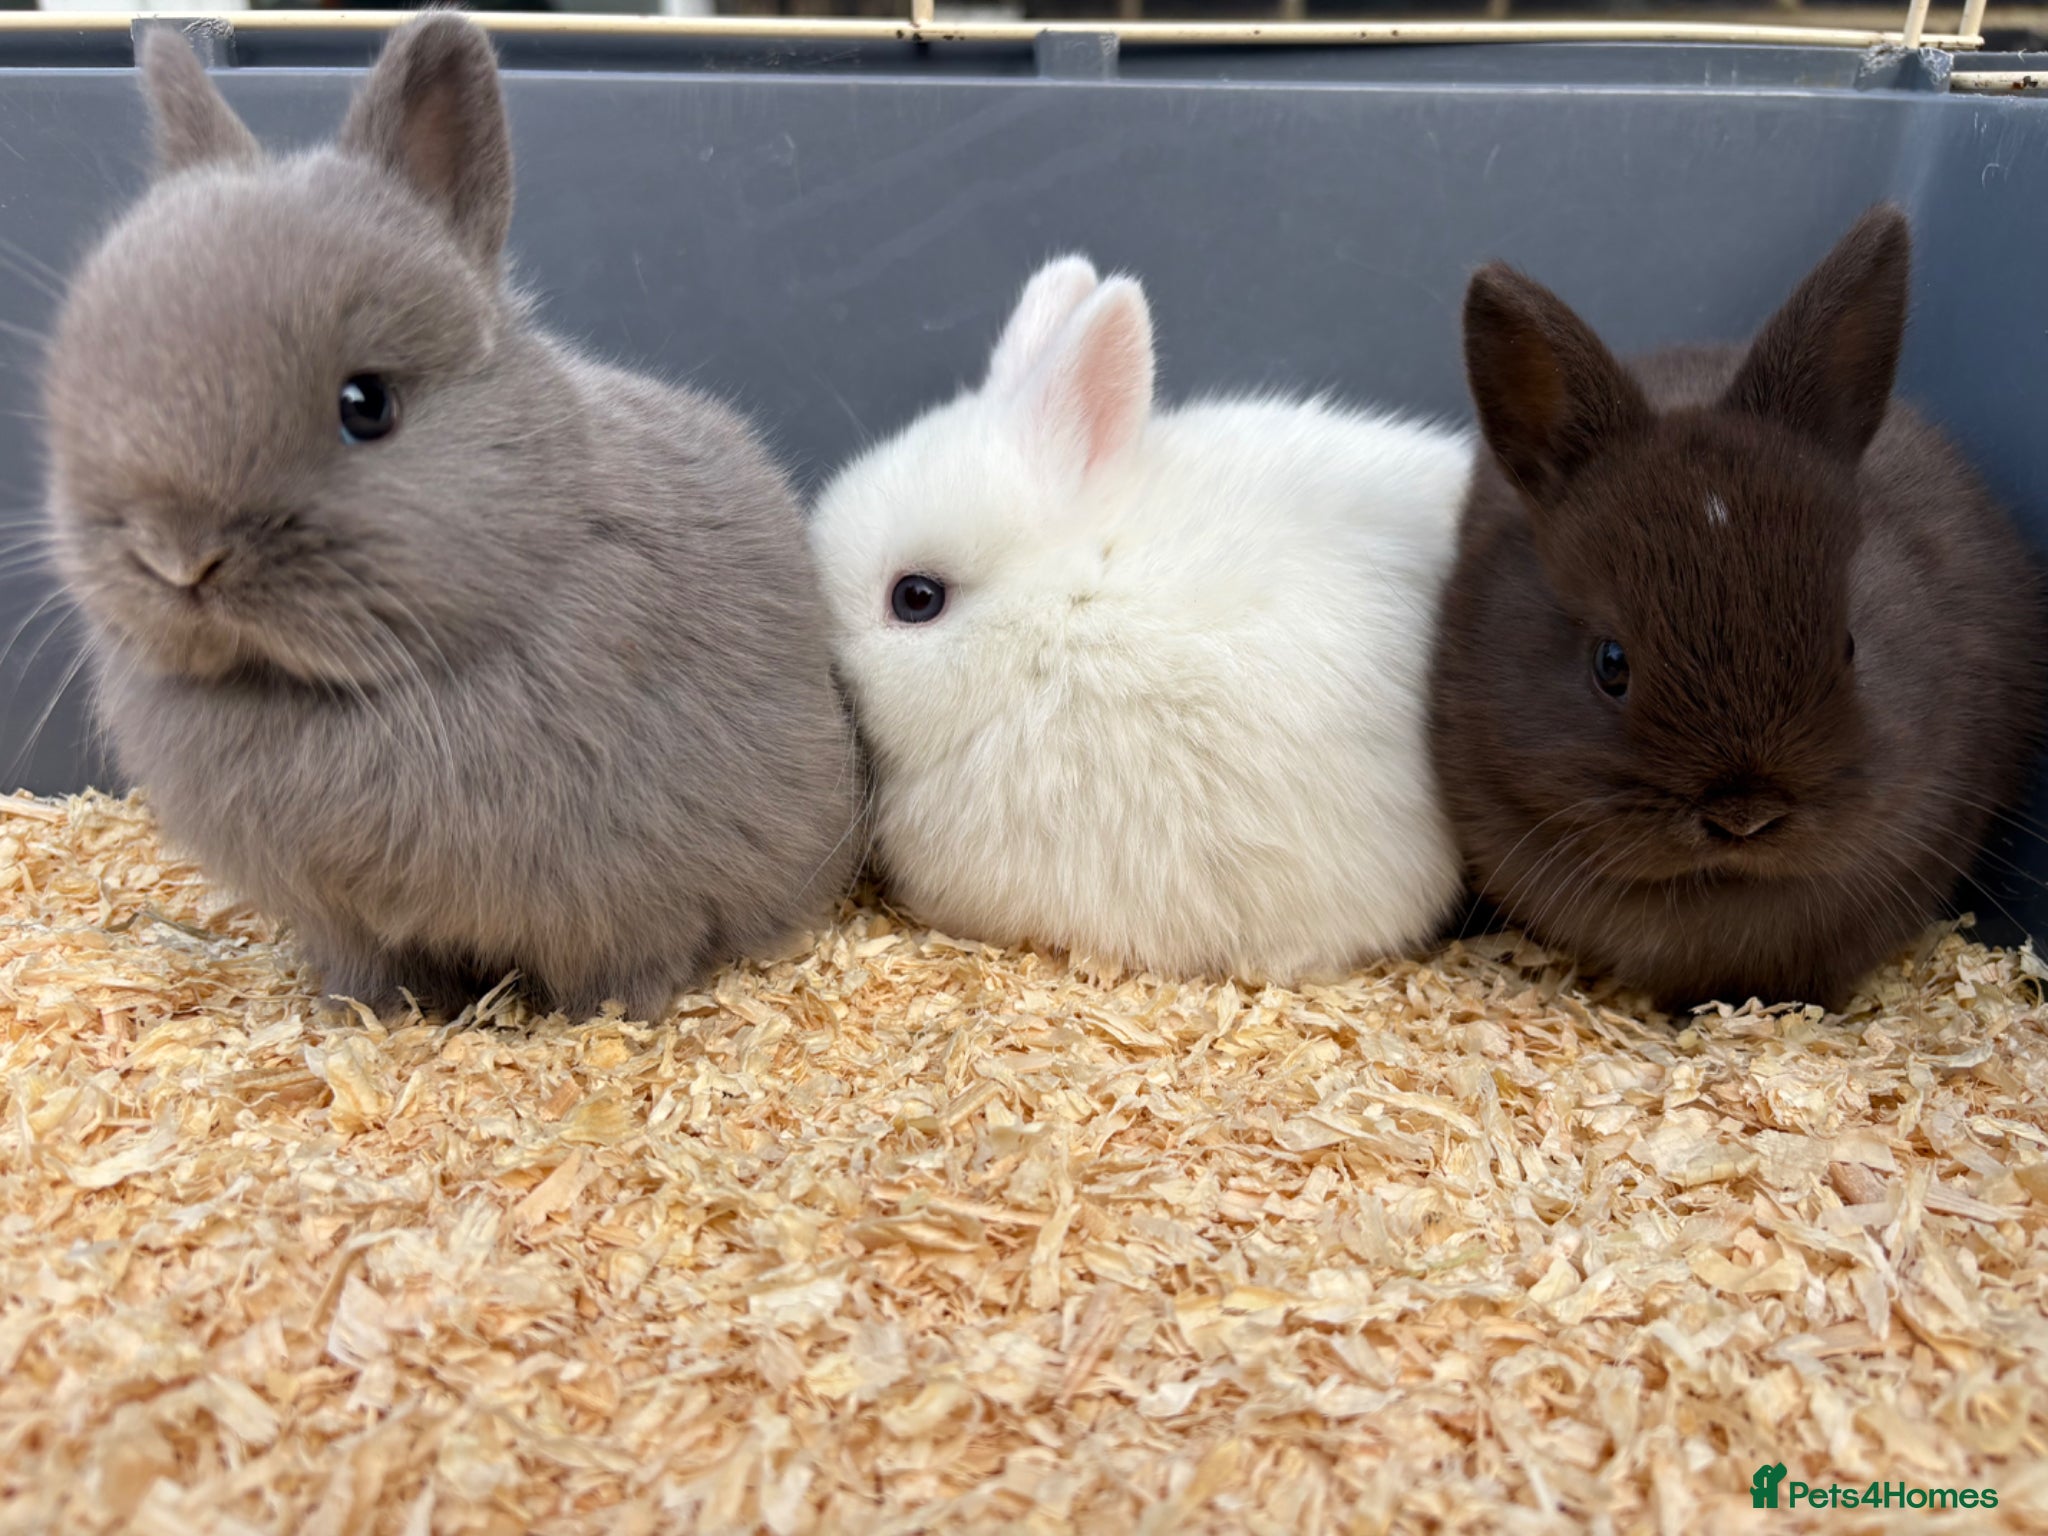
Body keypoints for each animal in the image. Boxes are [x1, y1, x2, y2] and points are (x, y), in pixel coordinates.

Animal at [41, 15, 865, 1019]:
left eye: (367, 405)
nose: (178, 557)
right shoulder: (341, 917)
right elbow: (372, 967)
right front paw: (366, 1014)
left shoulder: (628, 891)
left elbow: (631, 961)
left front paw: (606, 1023)